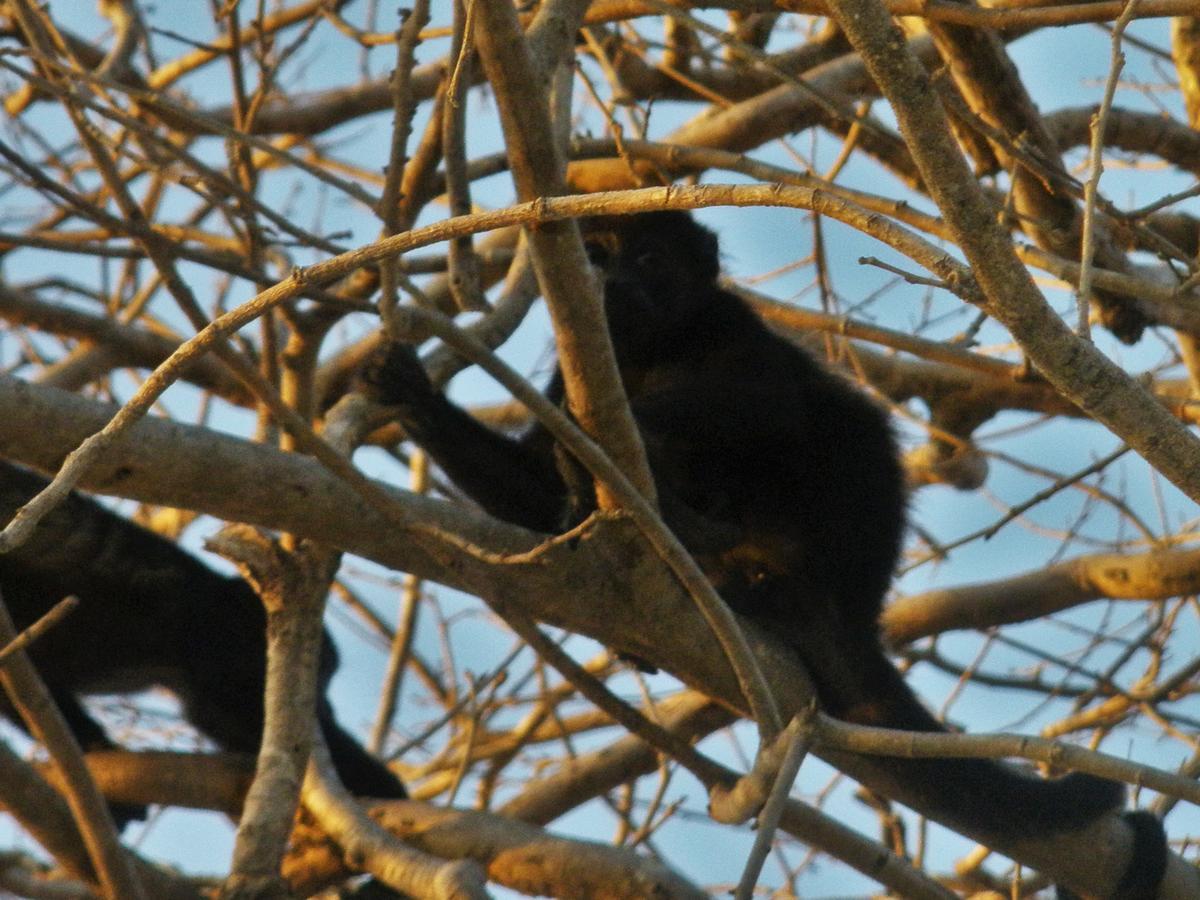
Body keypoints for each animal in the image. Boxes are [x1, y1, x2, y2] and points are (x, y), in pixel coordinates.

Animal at [360, 213, 1166, 900]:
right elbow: (533, 484)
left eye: (647, 258)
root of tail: (858, 616)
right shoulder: (567, 377)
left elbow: (769, 407)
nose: (608, 283)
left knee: (839, 422)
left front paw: (626, 437)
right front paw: (414, 396)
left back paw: (733, 564)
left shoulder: (732, 328)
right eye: (594, 253)